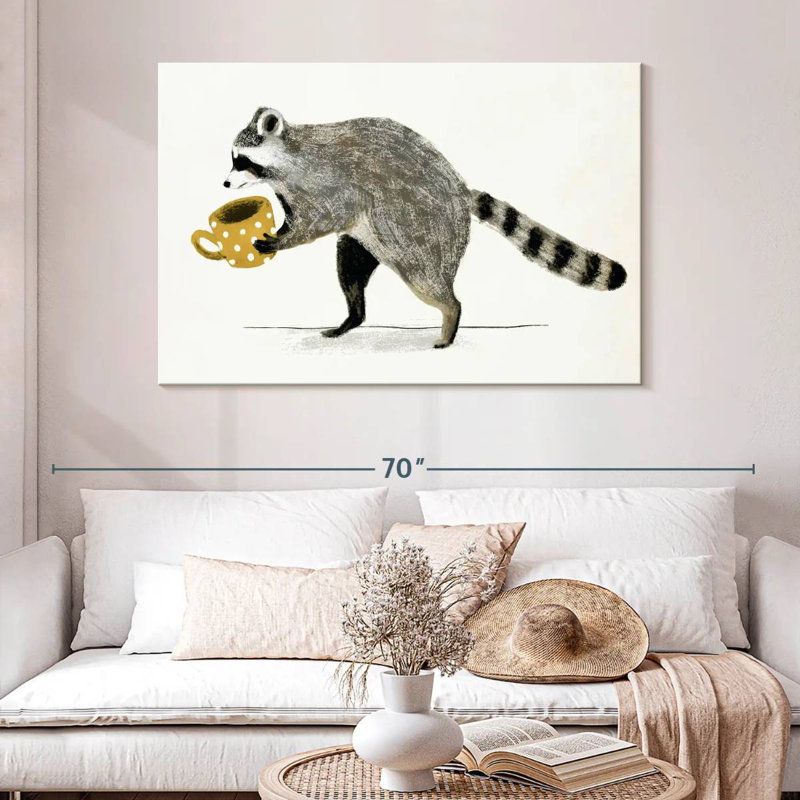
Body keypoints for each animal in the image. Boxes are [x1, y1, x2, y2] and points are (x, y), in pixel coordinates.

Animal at [224, 107, 627, 348]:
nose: (225, 183)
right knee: (350, 266)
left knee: (427, 280)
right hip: (376, 236)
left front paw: (281, 241)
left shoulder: (328, 184)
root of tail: (460, 190)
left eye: (242, 160)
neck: (287, 159)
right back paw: (354, 316)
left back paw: (450, 314)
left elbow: (320, 219)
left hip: (422, 230)